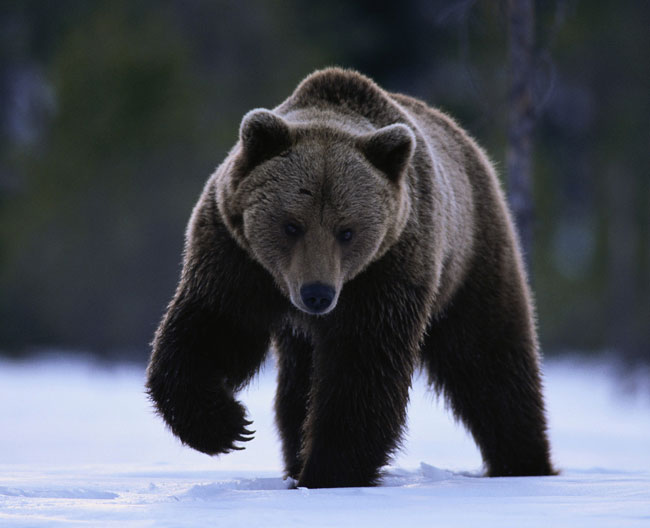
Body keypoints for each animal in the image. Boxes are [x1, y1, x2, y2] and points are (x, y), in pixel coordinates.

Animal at [146, 68, 552, 488]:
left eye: (347, 231)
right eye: (292, 225)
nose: (317, 294)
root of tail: (470, 144)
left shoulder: (387, 271)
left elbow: (362, 369)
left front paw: (328, 472)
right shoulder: (235, 257)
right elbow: (213, 329)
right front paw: (227, 426)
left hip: (471, 259)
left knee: (489, 360)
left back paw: (523, 462)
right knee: (296, 389)